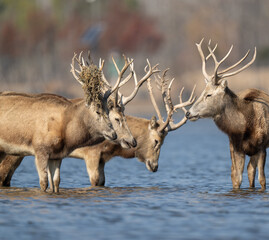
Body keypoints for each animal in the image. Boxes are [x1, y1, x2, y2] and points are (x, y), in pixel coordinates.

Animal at [0, 69, 194, 189]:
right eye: (156, 141)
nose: (154, 166)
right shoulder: (91, 154)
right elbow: (93, 181)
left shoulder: (101, 160)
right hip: (13, 153)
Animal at [185, 38, 268, 190]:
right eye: (202, 92)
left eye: (209, 94)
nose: (188, 113)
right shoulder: (235, 147)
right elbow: (236, 178)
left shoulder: (262, 146)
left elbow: (262, 179)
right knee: (248, 170)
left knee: (252, 171)